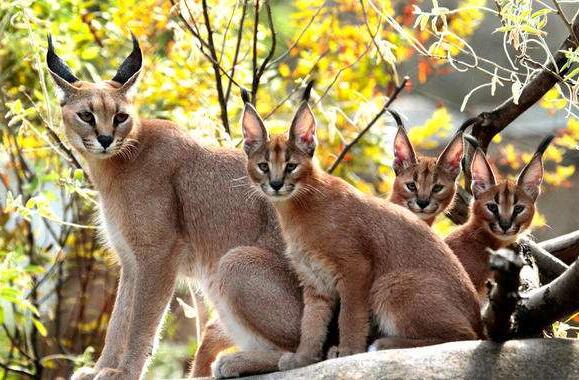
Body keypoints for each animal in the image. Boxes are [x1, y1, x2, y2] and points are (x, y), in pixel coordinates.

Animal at [240, 84, 484, 372]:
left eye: (291, 166)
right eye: (263, 166)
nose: (276, 184)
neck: (296, 208)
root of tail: (478, 315)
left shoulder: (356, 268)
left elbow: (350, 315)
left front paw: (348, 351)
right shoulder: (314, 281)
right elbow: (311, 323)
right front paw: (303, 358)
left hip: (389, 283)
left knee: (465, 336)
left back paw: (384, 344)